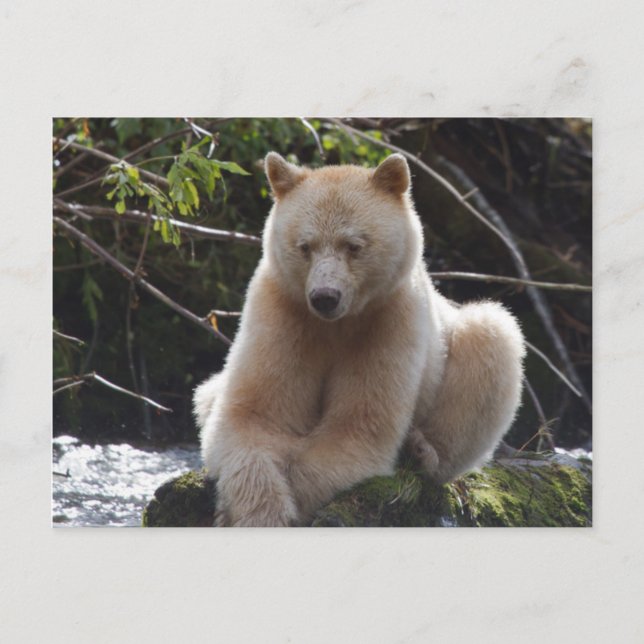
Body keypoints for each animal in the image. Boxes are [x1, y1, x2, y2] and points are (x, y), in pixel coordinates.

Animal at [194, 151, 526, 527]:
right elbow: (254, 415)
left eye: (353, 246)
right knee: (207, 395)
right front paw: (257, 512)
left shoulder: (388, 323)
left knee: (490, 336)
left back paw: (422, 451)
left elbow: (357, 429)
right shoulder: (284, 314)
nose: (325, 297)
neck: (338, 323)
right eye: (305, 246)